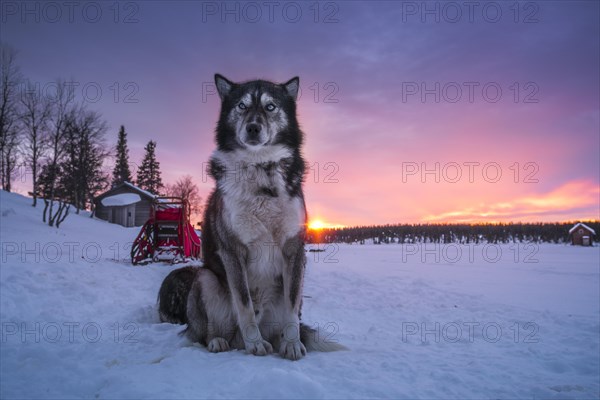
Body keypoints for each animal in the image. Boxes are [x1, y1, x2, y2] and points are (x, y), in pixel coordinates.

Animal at [159, 73, 342, 360]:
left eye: (270, 106)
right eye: (242, 106)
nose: (253, 128)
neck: (260, 170)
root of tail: (234, 340)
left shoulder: (293, 249)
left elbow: (292, 307)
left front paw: (292, 343)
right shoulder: (234, 251)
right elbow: (244, 304)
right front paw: (255, 343)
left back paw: (279, 340)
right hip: (205, 279)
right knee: (205, 331)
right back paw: (218, 341)